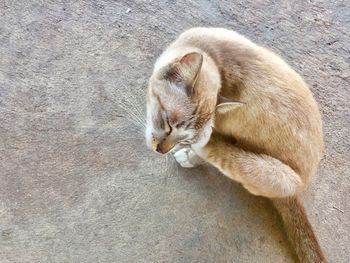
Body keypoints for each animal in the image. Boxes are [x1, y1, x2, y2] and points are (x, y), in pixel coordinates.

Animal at [145, 27, 326, 262]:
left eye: (182, 135)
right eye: (168, 125)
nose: (160, 150)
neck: (210, 53)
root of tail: (300, 186)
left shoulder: (207, 135)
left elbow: (202, 147)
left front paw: (185, 153)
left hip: (280, 176)